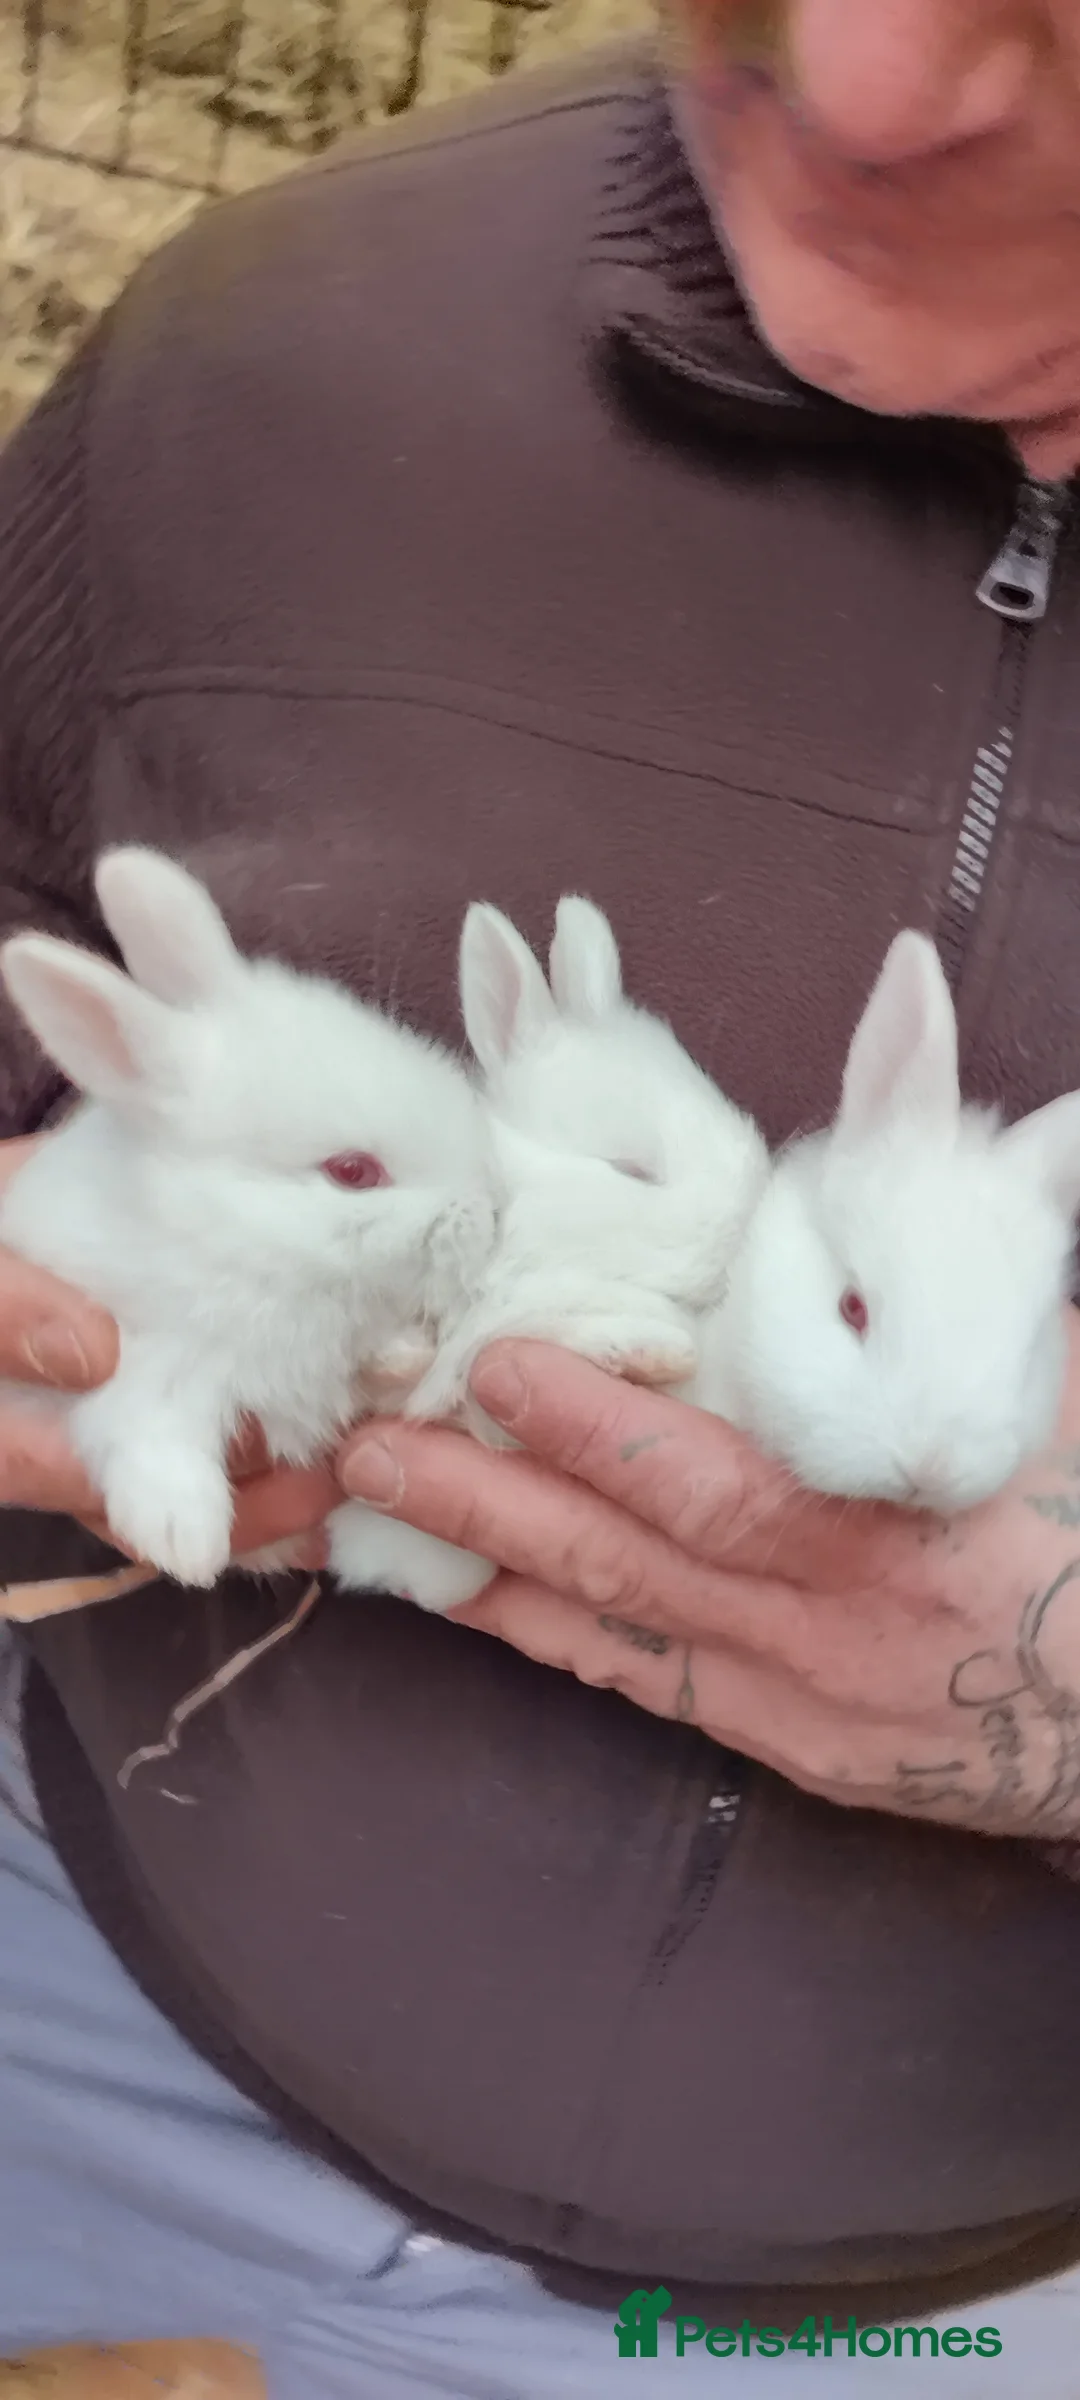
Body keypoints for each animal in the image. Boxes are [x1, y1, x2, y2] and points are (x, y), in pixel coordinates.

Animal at [0, 847, 498, 1591]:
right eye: (353, 1172)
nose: (490, 1205)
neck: (232, 1241)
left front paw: (405, 1356)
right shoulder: (142, 1363)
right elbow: (151, 1433)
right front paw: (185, 1541)